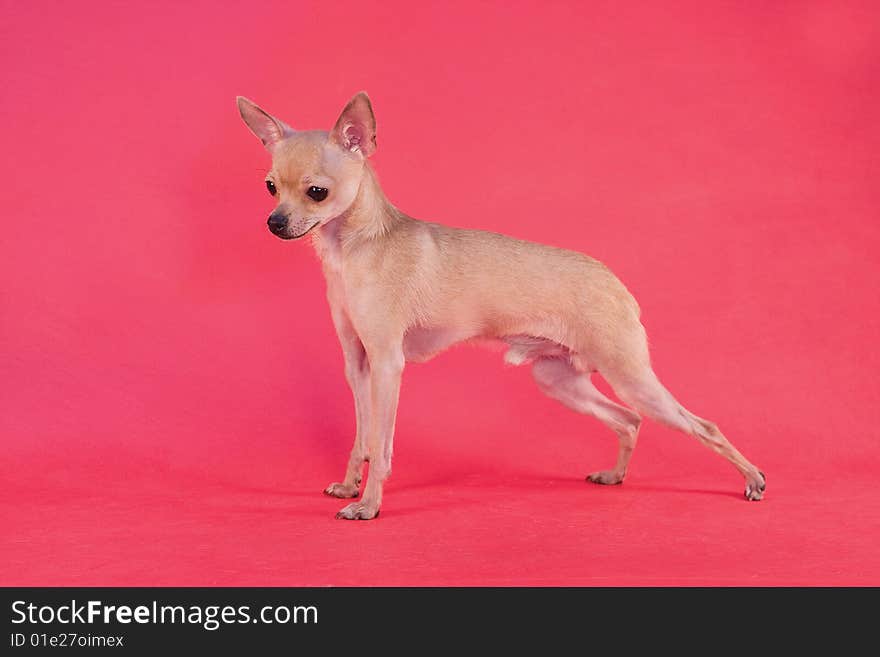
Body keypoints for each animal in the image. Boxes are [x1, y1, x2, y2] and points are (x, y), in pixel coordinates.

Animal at [237, 92, 768, 520]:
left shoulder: (388, 365)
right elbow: (362, 438)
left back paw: (752, 479)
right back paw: (615, 476)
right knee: (629, 420)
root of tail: (616, 284)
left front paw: (369, 505)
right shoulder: (358, 365)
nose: (274, 222)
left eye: (317, 192)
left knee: (702, 425)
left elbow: (382, 447)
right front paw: (351, 485)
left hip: (629, 376)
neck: (354, 249)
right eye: (270, 187)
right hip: (559, 380)